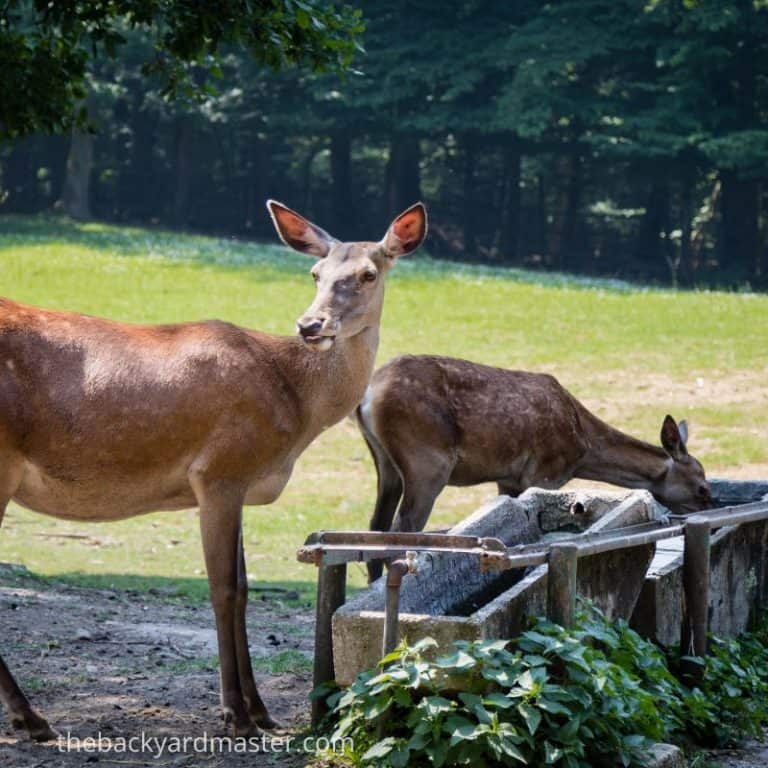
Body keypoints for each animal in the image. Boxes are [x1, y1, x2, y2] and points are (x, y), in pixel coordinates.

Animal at [0, 200, 427, 741]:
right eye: (316, 273)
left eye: (368, 274)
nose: (311, 325)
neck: (294, 404)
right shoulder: (219, 471)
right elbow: (223, 591)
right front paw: (235, 715)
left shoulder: (238, 486)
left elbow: (244, 590)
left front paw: (262, 711)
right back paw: (31, 717)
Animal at [357, 355, 713, 582]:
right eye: (702, 487)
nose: (709, 510)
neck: (583, 449)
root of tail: (367, 397)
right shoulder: (543, 470)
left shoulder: (509, 479)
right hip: (428, 460)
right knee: (401, 528)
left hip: (386, 463)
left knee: (376, 526)